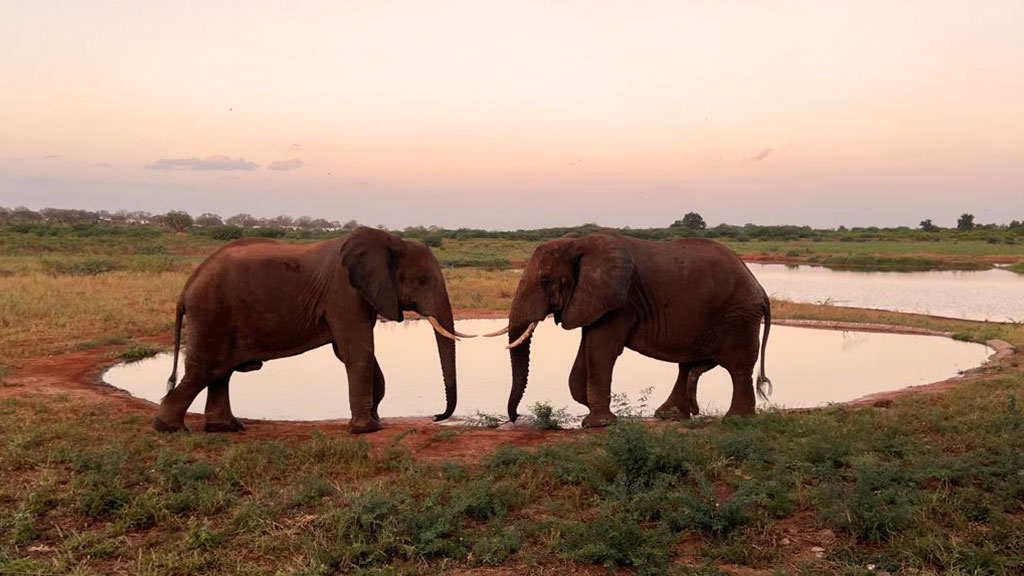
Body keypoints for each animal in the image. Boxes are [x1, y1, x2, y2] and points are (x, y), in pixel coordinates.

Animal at [153, 226, 473, 432]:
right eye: (421, 281)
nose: (436, 416)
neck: (390, 242)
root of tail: (187, 286)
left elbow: (349, 351)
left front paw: (374, 420)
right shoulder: (344, 293)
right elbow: (357, 351)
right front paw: (366, 429)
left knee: (221, 371)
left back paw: (226, 428)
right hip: (211, 311)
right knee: (205, 370)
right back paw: (169, 428)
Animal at [487, 229, 770, 426]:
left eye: (545, 280)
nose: (515, 417)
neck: (579, 243)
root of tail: (759, 287)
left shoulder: (620, 301)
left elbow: (601, 348)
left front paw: (597, 424)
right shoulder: (593, 301)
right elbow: (587, 347)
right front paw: (588, 404)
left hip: (738, 316)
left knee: (738, 366)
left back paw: (736, 420)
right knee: (688, 366)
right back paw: (669, 416)